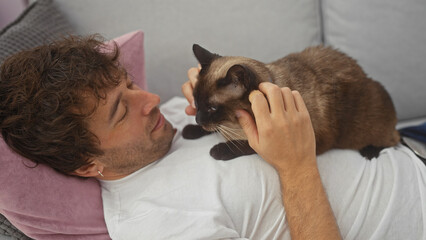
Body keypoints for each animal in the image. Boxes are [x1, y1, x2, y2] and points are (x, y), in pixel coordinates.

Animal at [182, 44, 400, 161]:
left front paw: (218, 150)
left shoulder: (312, 140)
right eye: (196, 103)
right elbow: (212, 131)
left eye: (212, 108)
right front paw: (190, 131)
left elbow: (248, 145)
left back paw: (370, 151)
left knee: (393, 139)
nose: (198, 119)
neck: (235, 126)